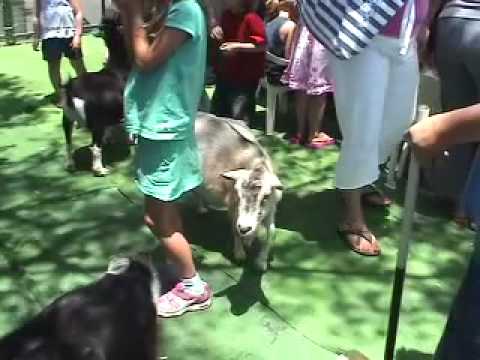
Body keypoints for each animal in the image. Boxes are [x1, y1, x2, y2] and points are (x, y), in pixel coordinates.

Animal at [63, 11, 133, 178]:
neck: (118, 69)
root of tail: (71, 91)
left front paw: (109, 139)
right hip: (96, 121)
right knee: (95, 147)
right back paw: (100, 170)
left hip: (67, 119)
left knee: (68, 142)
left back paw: (70, 165)